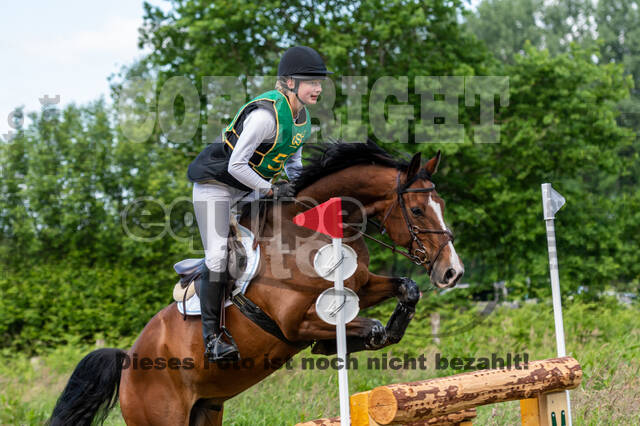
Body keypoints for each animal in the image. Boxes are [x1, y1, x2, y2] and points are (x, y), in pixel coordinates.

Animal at [48, 140, 464, 426]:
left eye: (441, 204)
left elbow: (406, 288)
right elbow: (363, 323)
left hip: (206, 410)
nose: (452, 272)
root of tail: (128, 361)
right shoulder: (295, 323)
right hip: (161, 416)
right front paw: (342, 343)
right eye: (416, 210)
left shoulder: (359, 287)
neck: (309, 230)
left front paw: (379, 334)